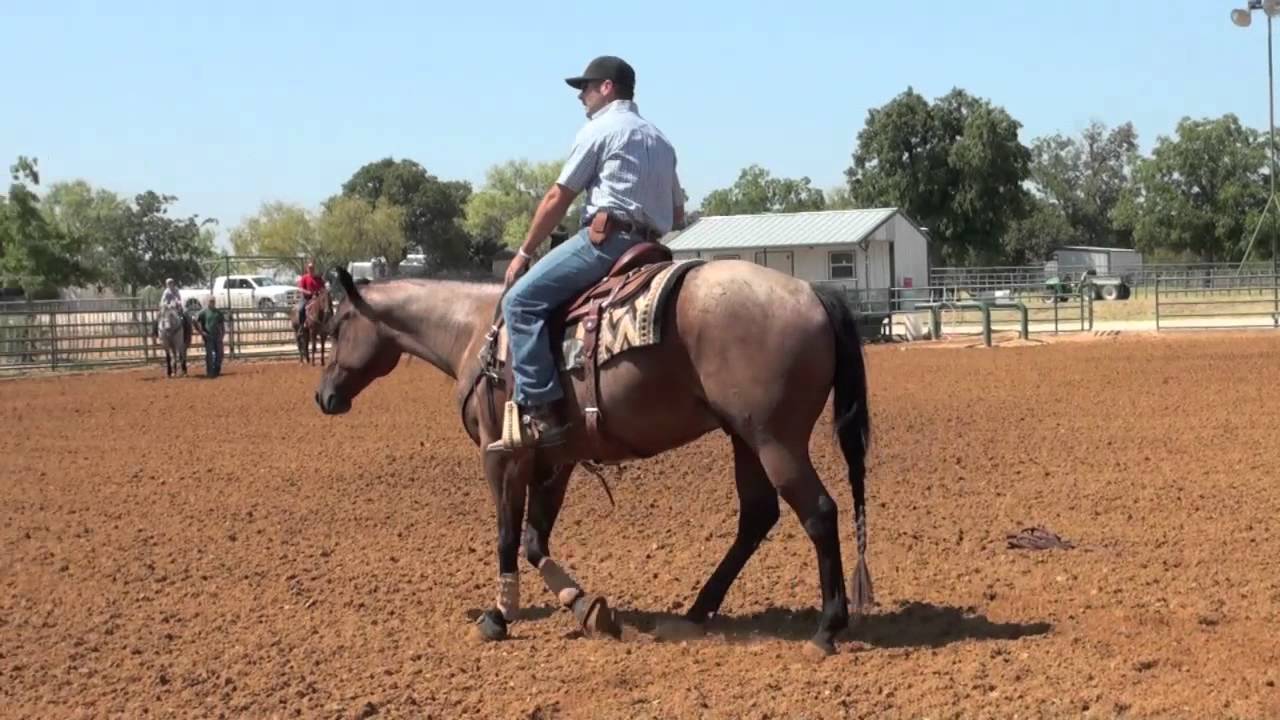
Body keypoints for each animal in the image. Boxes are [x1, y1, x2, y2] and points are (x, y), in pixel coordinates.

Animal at [313, 254, 873, 657]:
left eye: (338, 325)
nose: (324, 396)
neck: (475, 334)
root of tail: (810, 292)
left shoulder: (502, 459)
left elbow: (507, 537)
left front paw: (498, 616)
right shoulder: (553, 461)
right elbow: (535, 541)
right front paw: (586, 607)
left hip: (776, 441)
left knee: (819, 513)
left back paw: (826, 629)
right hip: (745, 438)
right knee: (757, 516)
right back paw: (695, 612)